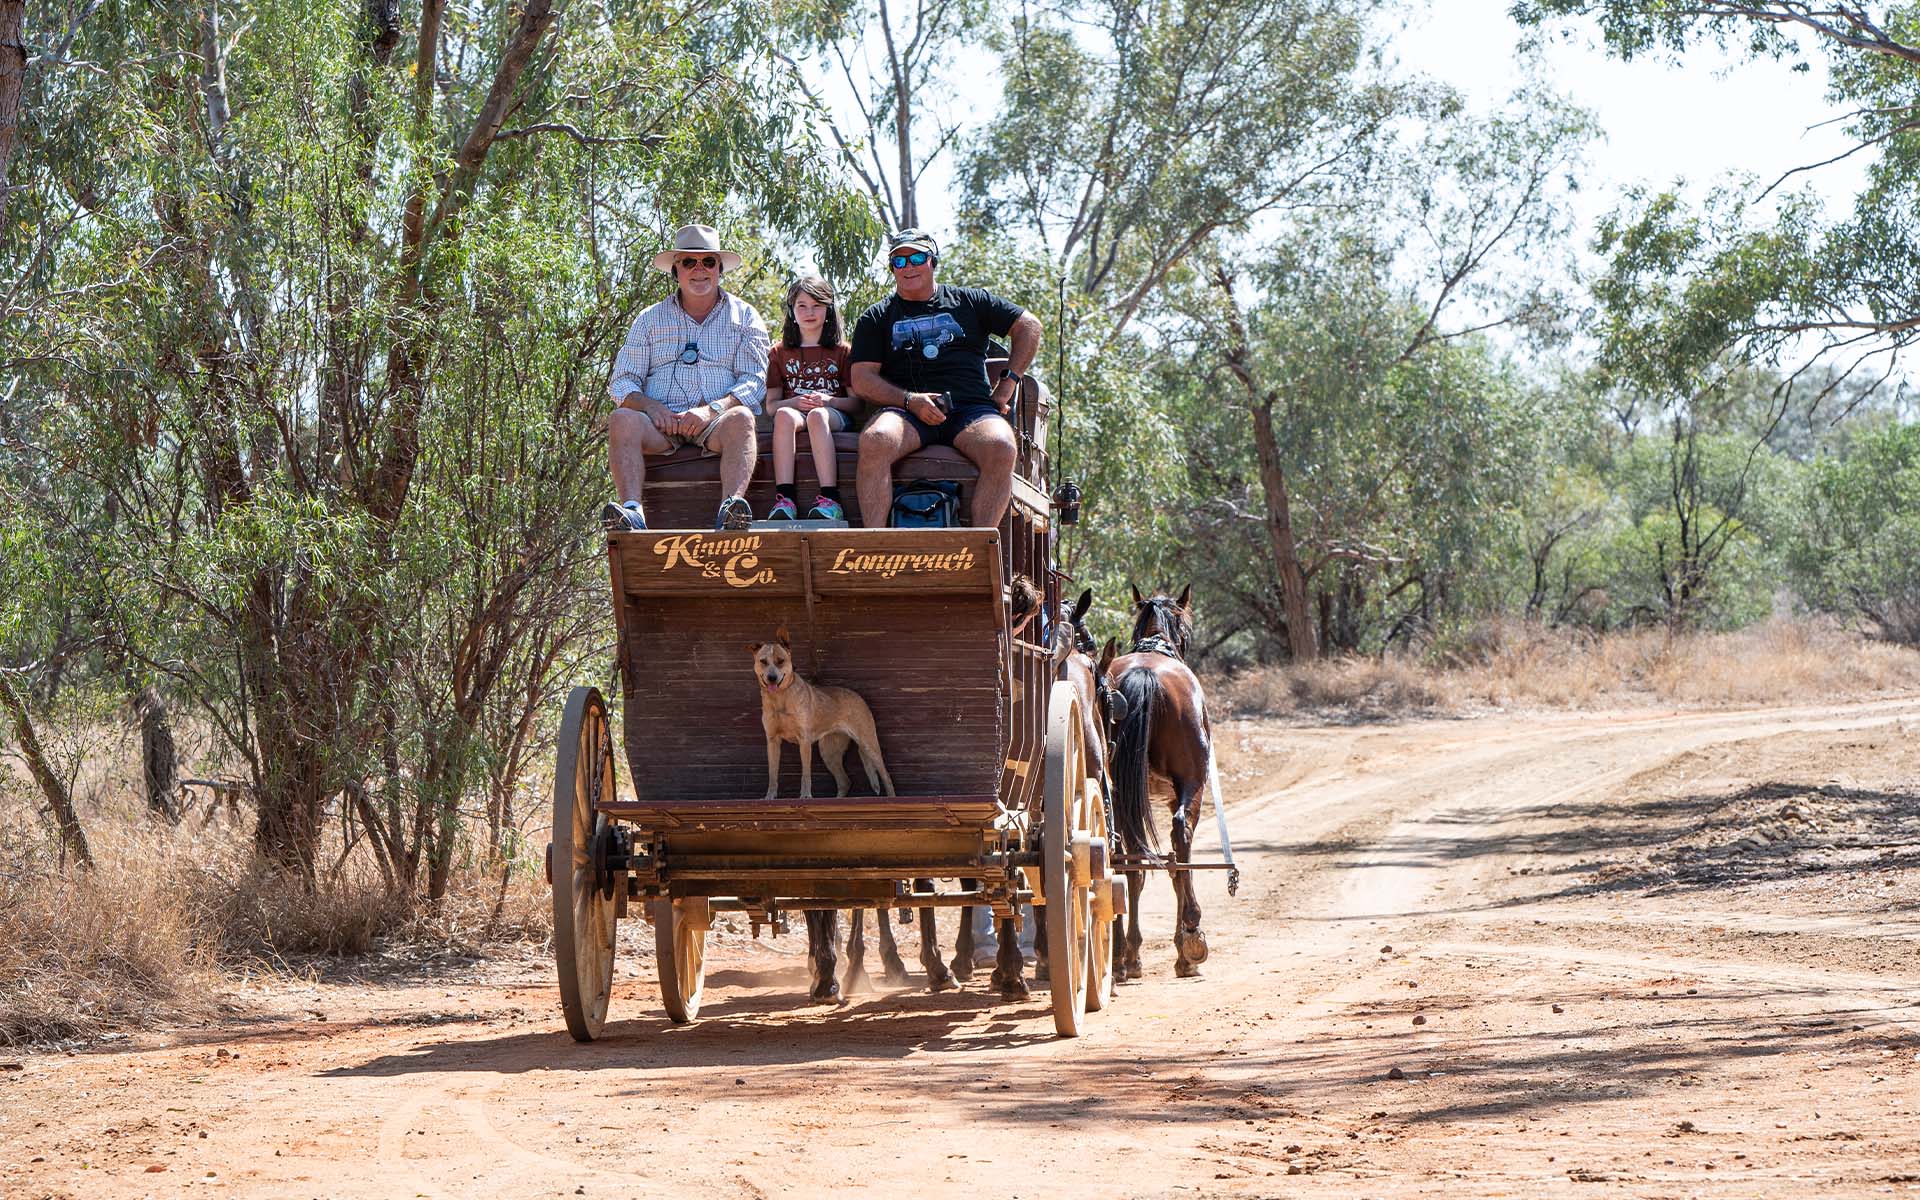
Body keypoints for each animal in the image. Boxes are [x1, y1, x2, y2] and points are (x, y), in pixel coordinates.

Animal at [752, 633, 894, 798]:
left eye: (780, 661)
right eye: (763, 661)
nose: (772, 677)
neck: (780, 698)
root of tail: (859, 697)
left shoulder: (804, 740)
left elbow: (806, 774)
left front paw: (805, 796)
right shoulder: (772, 740)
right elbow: (772, 774)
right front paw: (769, 797)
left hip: (868, 744)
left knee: (886, 776)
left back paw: (891, 798)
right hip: (829, 752)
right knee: (845, 782)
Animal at [1105, 583, 1205, 979]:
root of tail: (1145, 675)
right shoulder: (1179, 793)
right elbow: (1180, 861)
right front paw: (1184, 949)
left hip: (1119, 794)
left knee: (1125, 857)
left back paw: (1126, 955)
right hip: (1191, 783)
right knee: (1180, 838)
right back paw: (1191, 938)